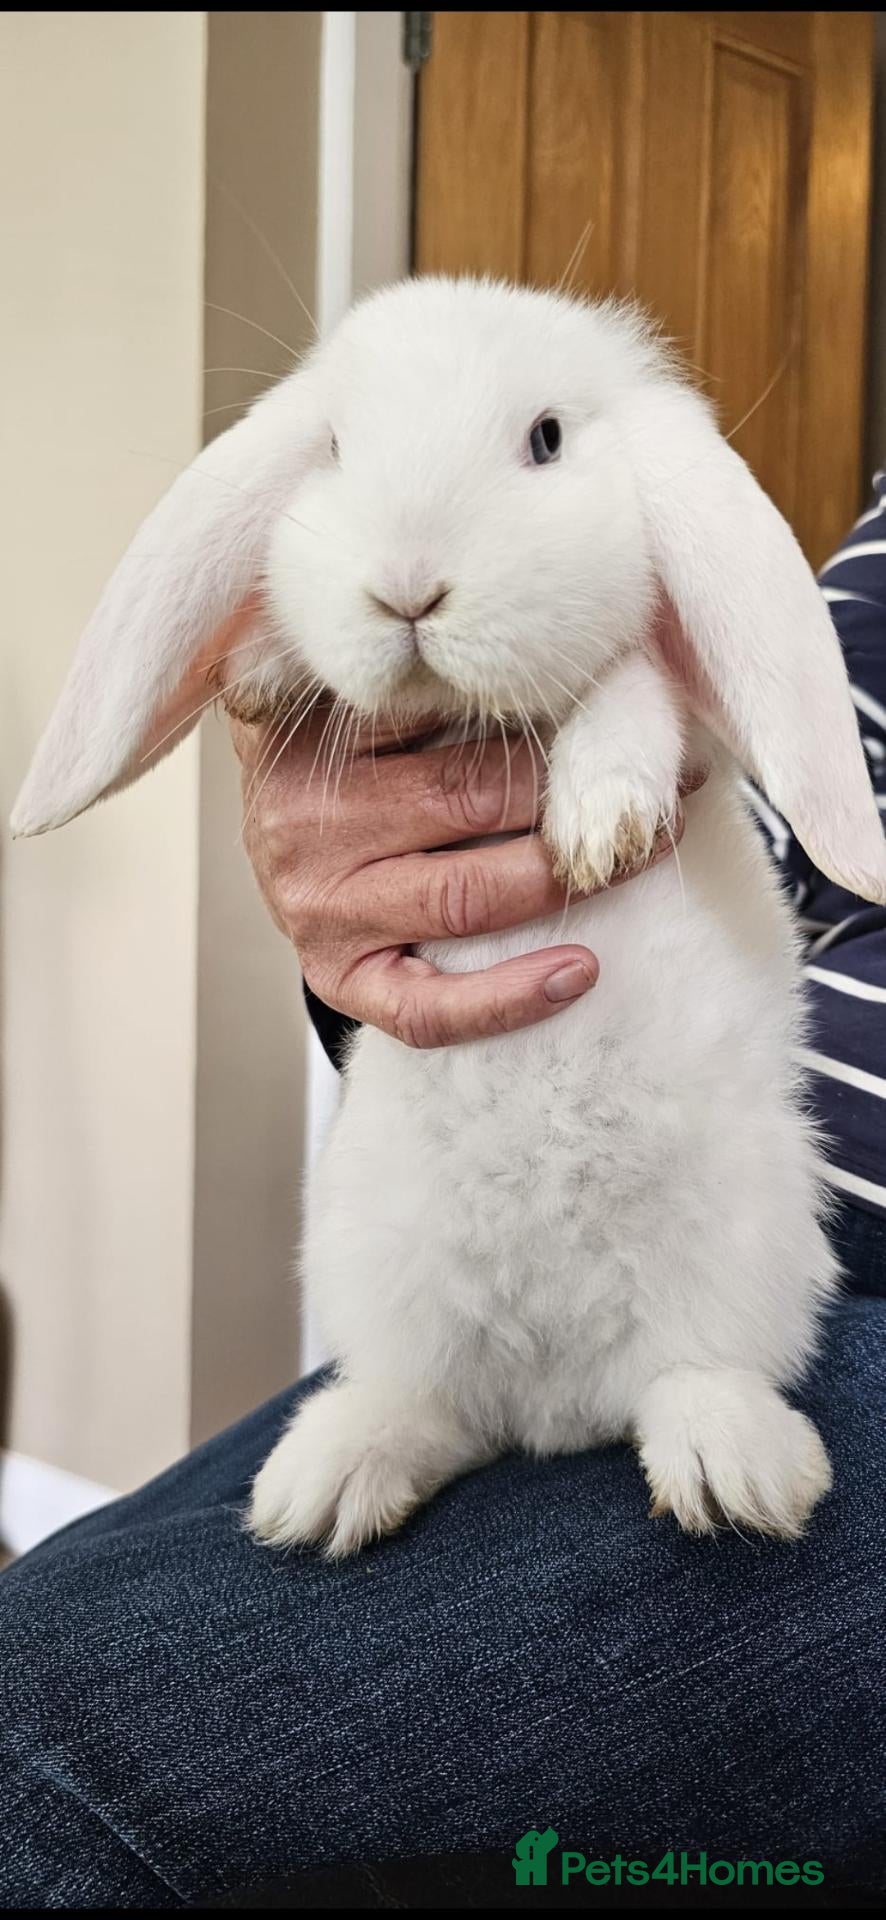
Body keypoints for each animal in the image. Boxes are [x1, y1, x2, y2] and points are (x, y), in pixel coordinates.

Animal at [12, 277, 886, 1555]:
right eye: (332, 448)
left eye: (547, 439)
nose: (406, 589)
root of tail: (556, 1400)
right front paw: (269, 666)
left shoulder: (690, 729)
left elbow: (633, 683)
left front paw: (599, 820)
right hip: (373, 1262)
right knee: (430, 1406)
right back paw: (321, 1487)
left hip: (753, 1245)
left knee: (696, 1375)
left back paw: (737, 1478)